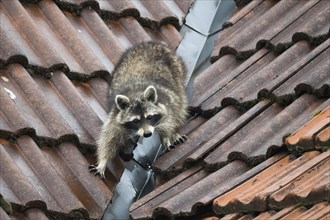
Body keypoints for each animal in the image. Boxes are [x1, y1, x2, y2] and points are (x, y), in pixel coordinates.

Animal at [89, 41, 188, 179]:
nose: (147, 134)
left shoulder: (167, 103)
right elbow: (108, 139)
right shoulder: (115, 117)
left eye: (150, 117)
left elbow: (170, 121)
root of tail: (152, 43)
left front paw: (168, 137)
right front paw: (102, 162)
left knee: (180, 105)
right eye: (135, 121)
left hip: (178, 72)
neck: (136, 95)